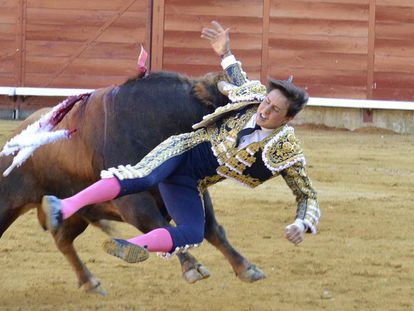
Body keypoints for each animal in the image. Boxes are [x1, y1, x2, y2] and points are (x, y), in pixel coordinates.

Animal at [0, 71, 266, 298]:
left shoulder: (194, 188)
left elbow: (212, 228)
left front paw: (246, 267)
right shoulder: (133, 203)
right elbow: (160, 226)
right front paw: (192, 267)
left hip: (78, 212)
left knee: (63, 239)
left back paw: (90, 283)